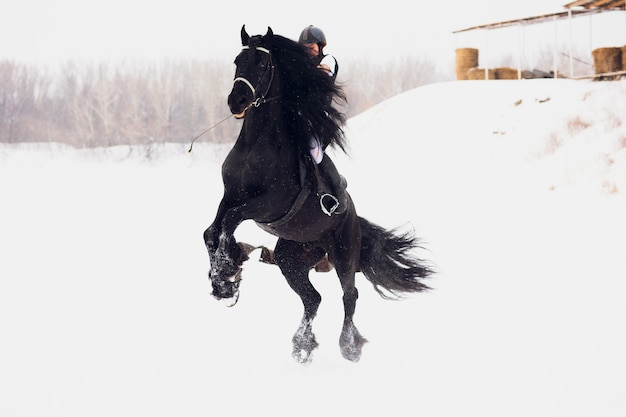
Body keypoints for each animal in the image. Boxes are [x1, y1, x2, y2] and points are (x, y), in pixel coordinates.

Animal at [202, 25, 432, 360]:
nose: (237, 101)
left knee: (349, 294)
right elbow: (212, 230)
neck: (256, 146)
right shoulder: (230, 195)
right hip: (292, 258)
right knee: (313, 298)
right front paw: (224, 280)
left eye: (262, 63)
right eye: (237, 61)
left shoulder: (266, 205)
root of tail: (354, 218)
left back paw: (348, 347)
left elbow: (229, 222)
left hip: (344, 254)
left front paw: (225, 272)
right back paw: (303, 345)